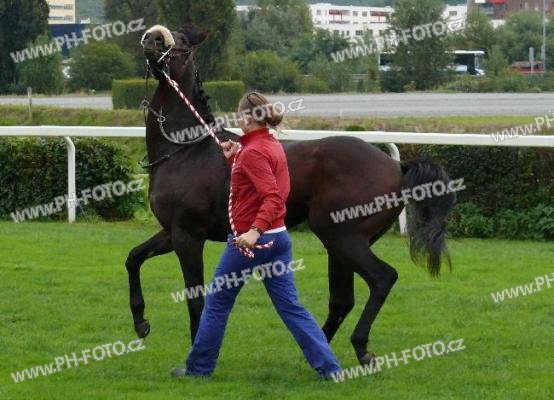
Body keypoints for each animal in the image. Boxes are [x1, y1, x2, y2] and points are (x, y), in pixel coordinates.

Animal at [127, 24, 455, 365]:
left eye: (183, 45)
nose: (152, 39)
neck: (188, 150)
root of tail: (396, 165)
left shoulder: (188, 236)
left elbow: (195, 300)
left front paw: (195, 356)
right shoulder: (171, 232)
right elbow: (133, 258)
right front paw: (140, 321)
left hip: (342, 238)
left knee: (382, 278)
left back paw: (360, 347)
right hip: (342, 243)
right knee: (342, 300)